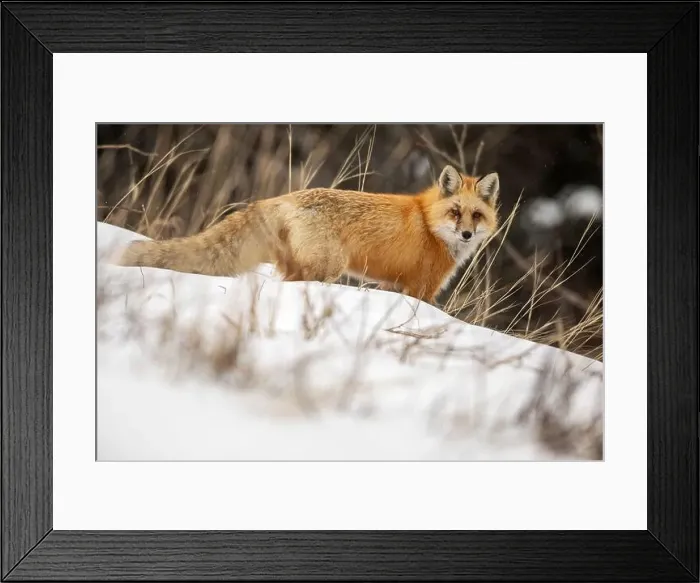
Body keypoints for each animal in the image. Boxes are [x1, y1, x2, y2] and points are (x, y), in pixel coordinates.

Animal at [112, 164, 500, 304]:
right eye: (455, 213)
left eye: (476, 215)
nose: (467, 234)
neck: (429, 223)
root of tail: (282, 197)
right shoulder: (421, 290)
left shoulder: (392, 285)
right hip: (328, 267)